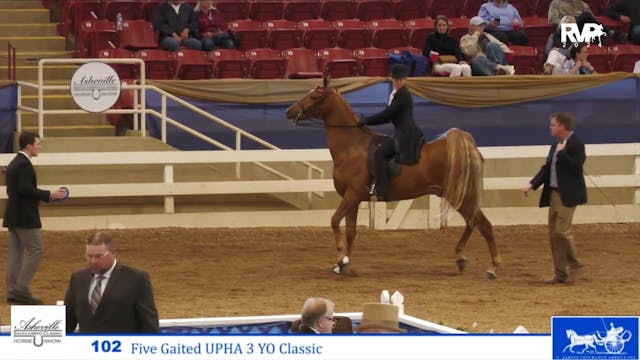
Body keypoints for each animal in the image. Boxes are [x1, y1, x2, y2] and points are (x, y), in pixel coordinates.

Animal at [284, 76, 500, 278]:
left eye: (314, 96)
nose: (289, 111)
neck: (352, 147)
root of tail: (468, 148)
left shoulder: (352, 195)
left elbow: (335, 221)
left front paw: (340, 259)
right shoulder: (353, 199)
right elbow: (351, 232)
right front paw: (345, 263)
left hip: (463, 195)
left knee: (484, 225)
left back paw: (492, 268)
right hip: (455, 195)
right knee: (473, 222)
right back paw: (461, 258)